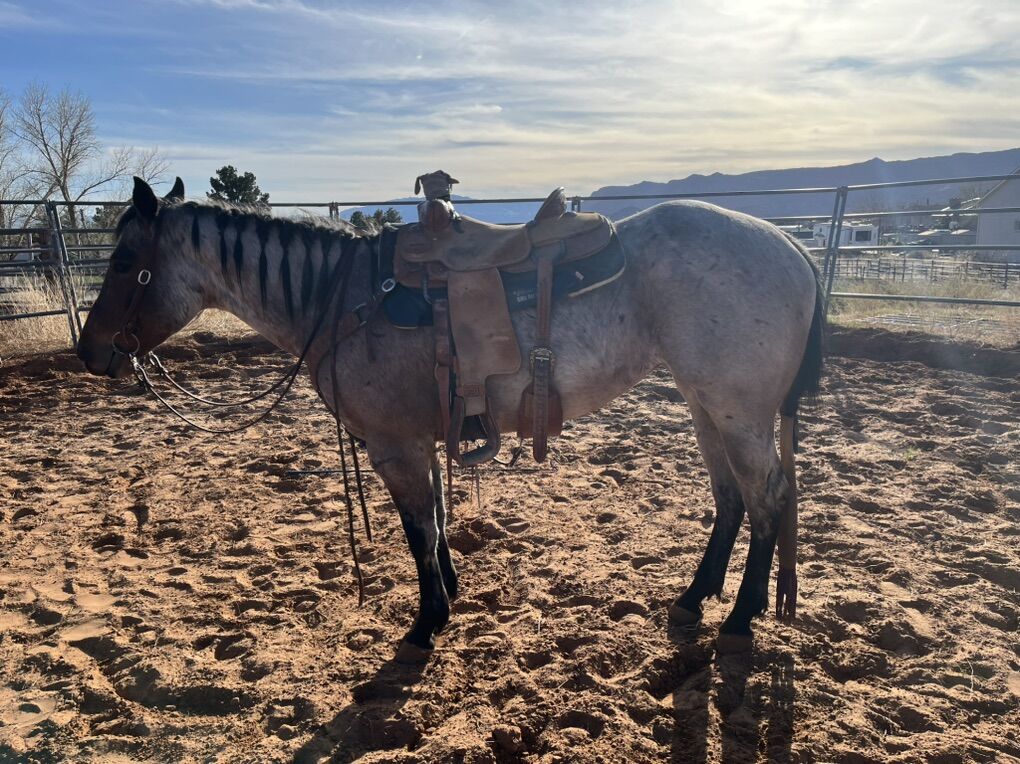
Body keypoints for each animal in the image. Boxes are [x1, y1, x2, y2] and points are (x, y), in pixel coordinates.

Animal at [77, 177, 823, 661]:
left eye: (124, 260)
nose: (90, 353)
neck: (340, 298)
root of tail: (793, 247)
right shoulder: (418, 440)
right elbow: (434, 523)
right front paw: (452, 596)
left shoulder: (396, 445)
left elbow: (417, 532)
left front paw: (426, 622)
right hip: (707, 406)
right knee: (731, 499)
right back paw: (696, 597)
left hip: (737, 411)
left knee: (768, 498)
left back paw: (741, 618)